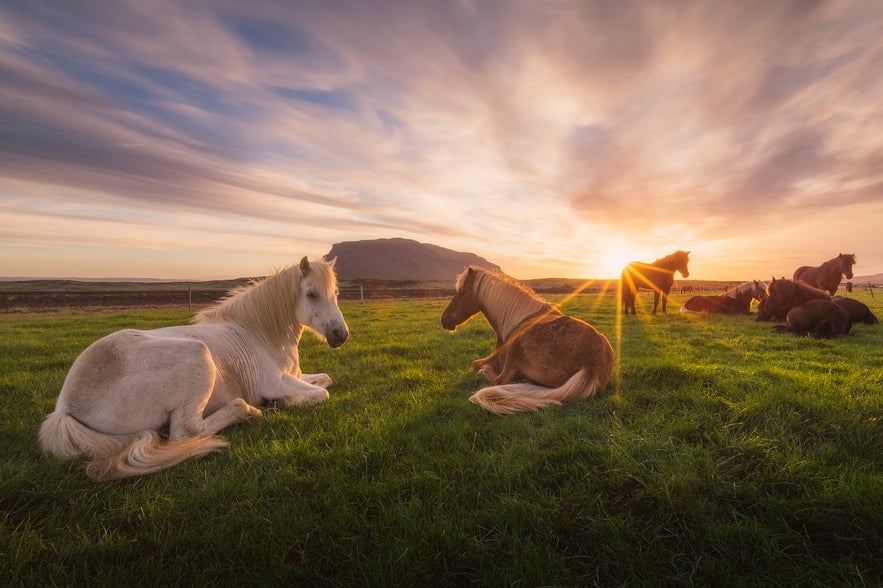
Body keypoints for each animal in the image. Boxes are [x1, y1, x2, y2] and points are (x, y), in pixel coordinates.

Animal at [39, 257, 349, 481]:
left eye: (335, 293)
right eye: (311, 294)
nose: (340, 335)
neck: (259, 333)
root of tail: (65, 406)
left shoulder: (295, 377)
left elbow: (325, 380)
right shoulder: (276, 383)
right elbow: (322, 394)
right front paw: (283, 402)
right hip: (198, 356)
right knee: (187, 430)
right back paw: (249, 410)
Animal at [441, 266, 614, 415]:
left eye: (461, 292)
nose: (444, 320)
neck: (518, 319)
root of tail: (591, 366)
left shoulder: (499, 357)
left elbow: (476, 364)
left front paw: (482, 369)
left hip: (515, 348)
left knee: (501, 379)